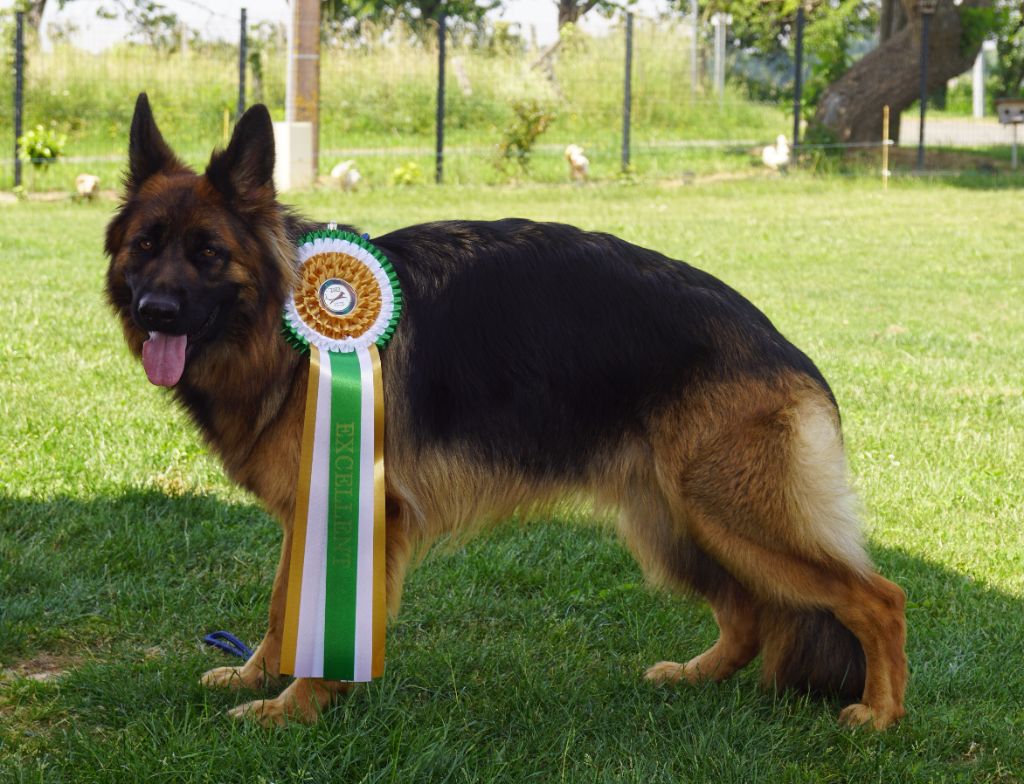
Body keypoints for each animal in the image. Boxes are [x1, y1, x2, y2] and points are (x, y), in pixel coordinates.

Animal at [103, 96, 909, 728]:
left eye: (209, 253)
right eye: (145, 246)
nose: (155, 311)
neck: (282, 328)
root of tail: (784, 348)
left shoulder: (358, 510)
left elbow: (312, 626)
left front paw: (295, 708)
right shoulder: (312, 510)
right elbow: (282, 608)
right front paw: (258, 677)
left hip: (732, 516)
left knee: (879, 597)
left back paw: (880, 714)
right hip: (675, 523)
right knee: (749, 614)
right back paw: (696, 676)